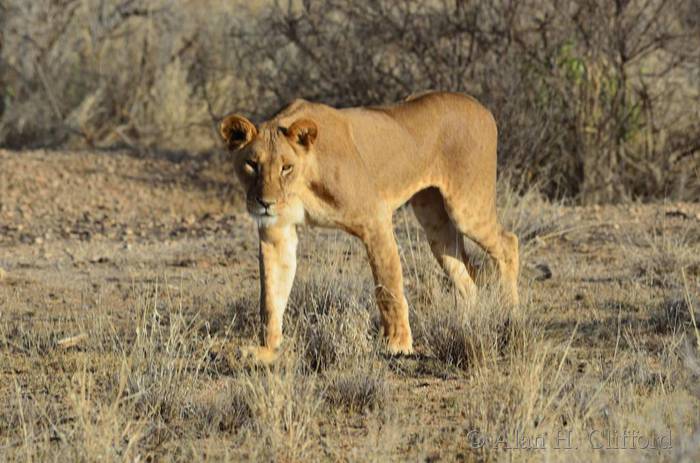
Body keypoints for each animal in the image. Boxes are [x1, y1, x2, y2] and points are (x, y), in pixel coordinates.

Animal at [218, 91, 519, 362]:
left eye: (286, 167)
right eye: (252, 164)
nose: (265, 203)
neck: (304, 179)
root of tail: (481, 107)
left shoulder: (375, 218)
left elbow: (388, 287)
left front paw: (398, 345)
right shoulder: (276, 233)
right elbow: (271, 296)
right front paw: (266, 351)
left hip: (466, 207)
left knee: (508, 243)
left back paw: (510, 314)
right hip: (433, 218)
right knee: (466, 274)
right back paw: (468, 323)